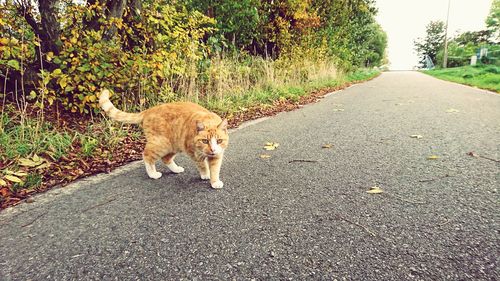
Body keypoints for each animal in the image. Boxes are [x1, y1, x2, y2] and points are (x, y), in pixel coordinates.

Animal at [99, 89, 229, 188]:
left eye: (219, 141)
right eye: (205, 141)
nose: (212, 149)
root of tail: (148, 110)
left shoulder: (217, 155)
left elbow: (215, 169)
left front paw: (215, 181)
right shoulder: (194, 153)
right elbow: (202, 165)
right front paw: (205, 174)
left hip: (173, 145)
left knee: (166, 159)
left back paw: (176, 169)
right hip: (162, 144)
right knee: (147, 155)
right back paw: (153, 174)